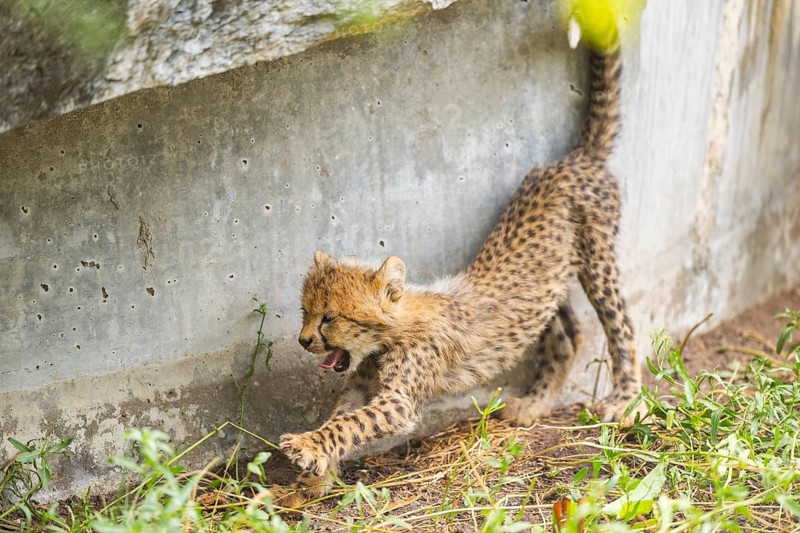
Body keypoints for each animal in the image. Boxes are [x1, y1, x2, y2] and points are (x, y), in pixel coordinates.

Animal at [277, 43, 641, 505]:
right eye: (304, 313)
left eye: (329, 317)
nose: (304, 340)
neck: (389, 335)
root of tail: (573, 160)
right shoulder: (360, 385)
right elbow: (339, 416)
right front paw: (317, 475)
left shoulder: (399, 401)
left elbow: (350, 423)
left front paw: (307, 448)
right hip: (553, 284)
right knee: (567, 336)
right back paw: (536, 403)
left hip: (598, 260)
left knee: (622, 329)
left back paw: (625, 400)